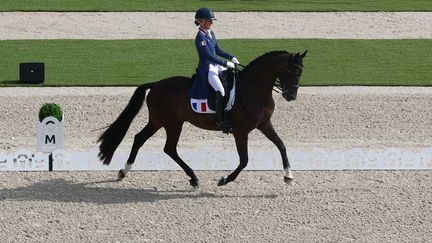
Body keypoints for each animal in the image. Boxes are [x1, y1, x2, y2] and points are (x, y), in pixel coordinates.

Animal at [98, 49, 308, 186]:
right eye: (292, 71)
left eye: (301, 72)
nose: (291, 96)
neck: (253, 88)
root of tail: (156, 84)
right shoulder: (241, 131)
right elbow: (244, 160)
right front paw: (225, 179)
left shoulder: (264, 124)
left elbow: (281, 145)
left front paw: (288, 175)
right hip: (172, 123)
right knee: (168, 148)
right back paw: (193, 177)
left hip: (158, 121)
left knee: (140, 139)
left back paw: (124, 172)